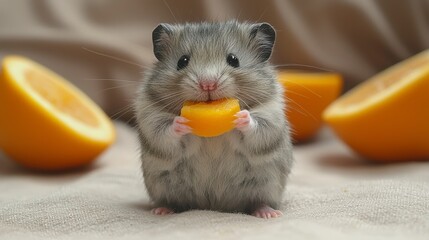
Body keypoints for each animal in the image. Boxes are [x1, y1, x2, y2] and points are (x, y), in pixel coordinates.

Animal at [135, 21, 292, 219]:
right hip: (162, 184)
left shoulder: (271, 116)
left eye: (234, 59)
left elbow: (258, 127)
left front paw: (241, 116)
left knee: (257, 201)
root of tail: (215, 204)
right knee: (171, 201)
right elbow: (165, 132)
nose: (207, 84)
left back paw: (269, 213)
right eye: (182, 61)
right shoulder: (151, 119)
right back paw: (162, 210)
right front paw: (181, 122)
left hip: (266, 183)